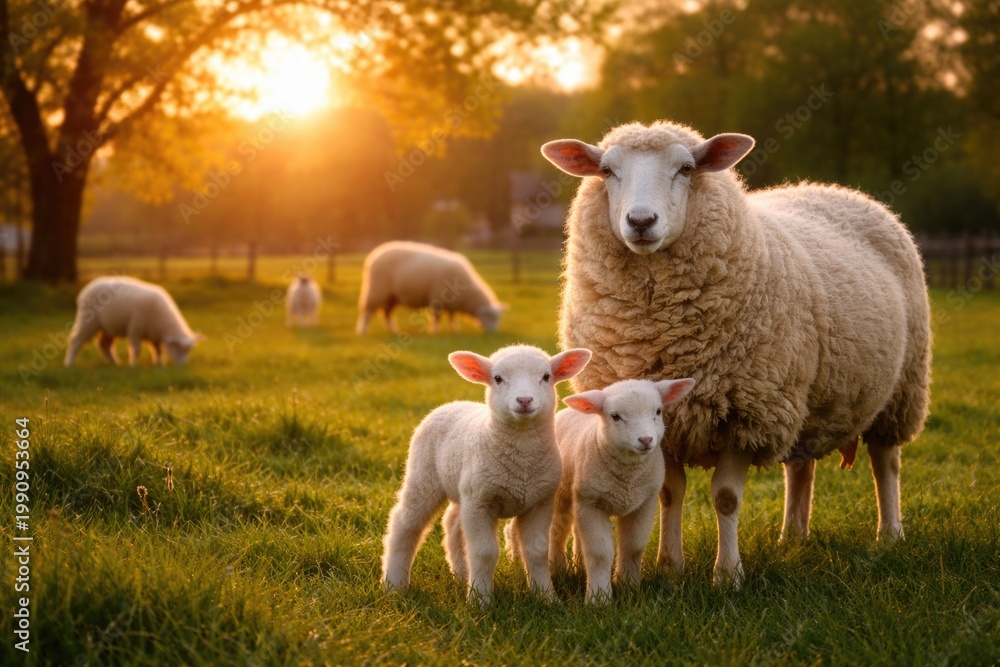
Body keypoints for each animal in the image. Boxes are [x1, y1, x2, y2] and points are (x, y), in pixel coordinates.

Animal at [64, 276, 204, 367]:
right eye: (178, 348)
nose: (183, 366)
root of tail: (87, 288)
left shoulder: (155, 334)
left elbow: (158, 350)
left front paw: (160, 364)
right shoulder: (135, 328)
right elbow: (137, 349)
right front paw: (133, 365)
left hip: (109, 327)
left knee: (104, 345)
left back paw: (114, 363)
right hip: (87, 321)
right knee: (76, 340)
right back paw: (70, 363)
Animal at [356, 241, 505, 335]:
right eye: (491, 317)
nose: (494, 333)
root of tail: (374, 254)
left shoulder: (451, 302)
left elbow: (452, 316)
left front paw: (454, 330)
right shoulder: (437, 298)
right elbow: (437, 317)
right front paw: (435, 332)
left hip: (391, 296)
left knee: (387, 314)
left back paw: (392, 331)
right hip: (376, 290)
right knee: (368, 312)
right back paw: (362, 331)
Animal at [381, 344, 592, 605]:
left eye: (546, 377)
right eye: (498, 378)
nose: (524, 400)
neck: (522, 461)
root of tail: (452, 403)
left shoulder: (539, 502)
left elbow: (537, 551)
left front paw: (546, 597)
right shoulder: (481, 502)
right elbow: (484, 552)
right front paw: (480, 600)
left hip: (464, 489)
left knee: (452, 523)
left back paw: (461, 574)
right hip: (424, 477)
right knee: (405, 524)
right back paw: (394, 584)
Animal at [549, 378, 696, 603]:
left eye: (658, 411)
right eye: (615, 416)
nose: (646, 440)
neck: (627, 480)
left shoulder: (644, 503)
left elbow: (633, 546)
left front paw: (628, 586)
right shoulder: (591, 503)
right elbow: (599, 553)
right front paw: (599, 598)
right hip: (563, 494)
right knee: (558, 528)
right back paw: (558, 569)